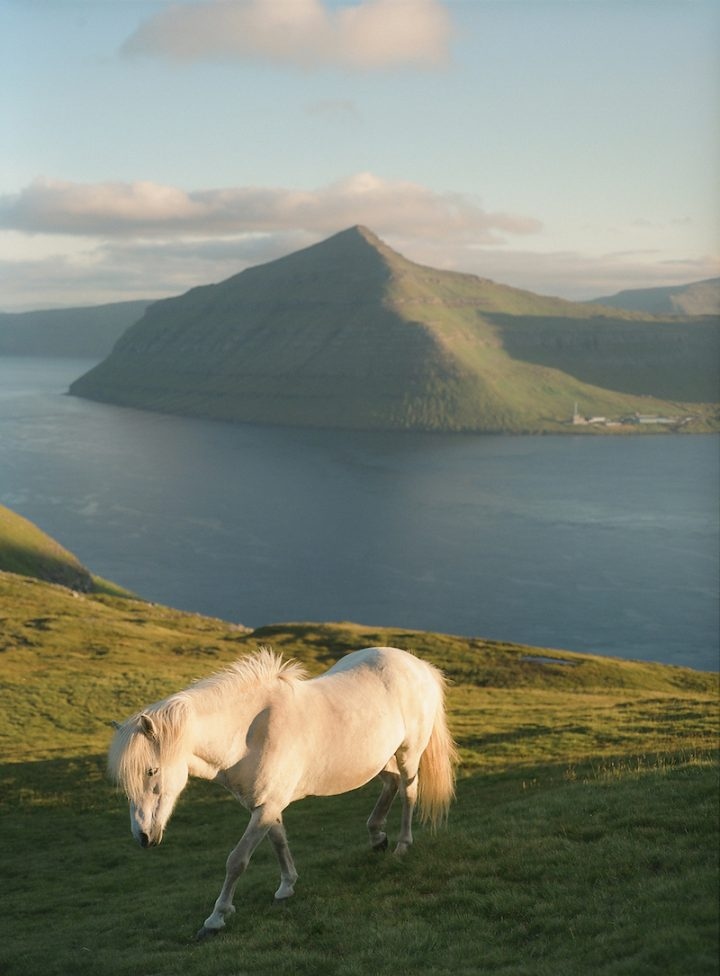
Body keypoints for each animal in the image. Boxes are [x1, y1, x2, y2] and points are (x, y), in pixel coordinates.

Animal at [108, 648, 456, 936]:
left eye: (151, 771)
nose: (143, 837)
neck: (250, 733)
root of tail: (419, 666)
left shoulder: (265, 807)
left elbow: (237, 860)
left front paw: (216, 918)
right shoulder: (266, 805)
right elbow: (279, 843)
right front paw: (287, 887)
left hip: (408, 754)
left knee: (409, 792)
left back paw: (402, 845)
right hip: (378, 759)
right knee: (392, 784)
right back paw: (377, 838)